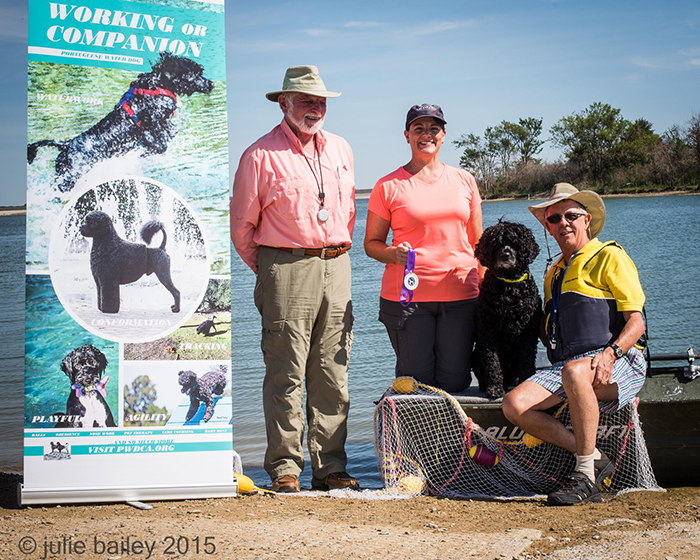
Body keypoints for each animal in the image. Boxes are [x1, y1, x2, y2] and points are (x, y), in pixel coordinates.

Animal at [27, 52, 213, 192]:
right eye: (196, 74)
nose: (211, 83)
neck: (157, 86)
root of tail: (66, 145)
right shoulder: (154, 127)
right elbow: (163, 139)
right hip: (69, 177)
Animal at [474, 221, 544, 400]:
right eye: (496, 243)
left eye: (514, 243)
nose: (505, 254)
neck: (509, 286)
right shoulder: (488, 330)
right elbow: (492, 361)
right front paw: (495, 388)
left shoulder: (529, 331)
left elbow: (527, 358)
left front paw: (526, 379)